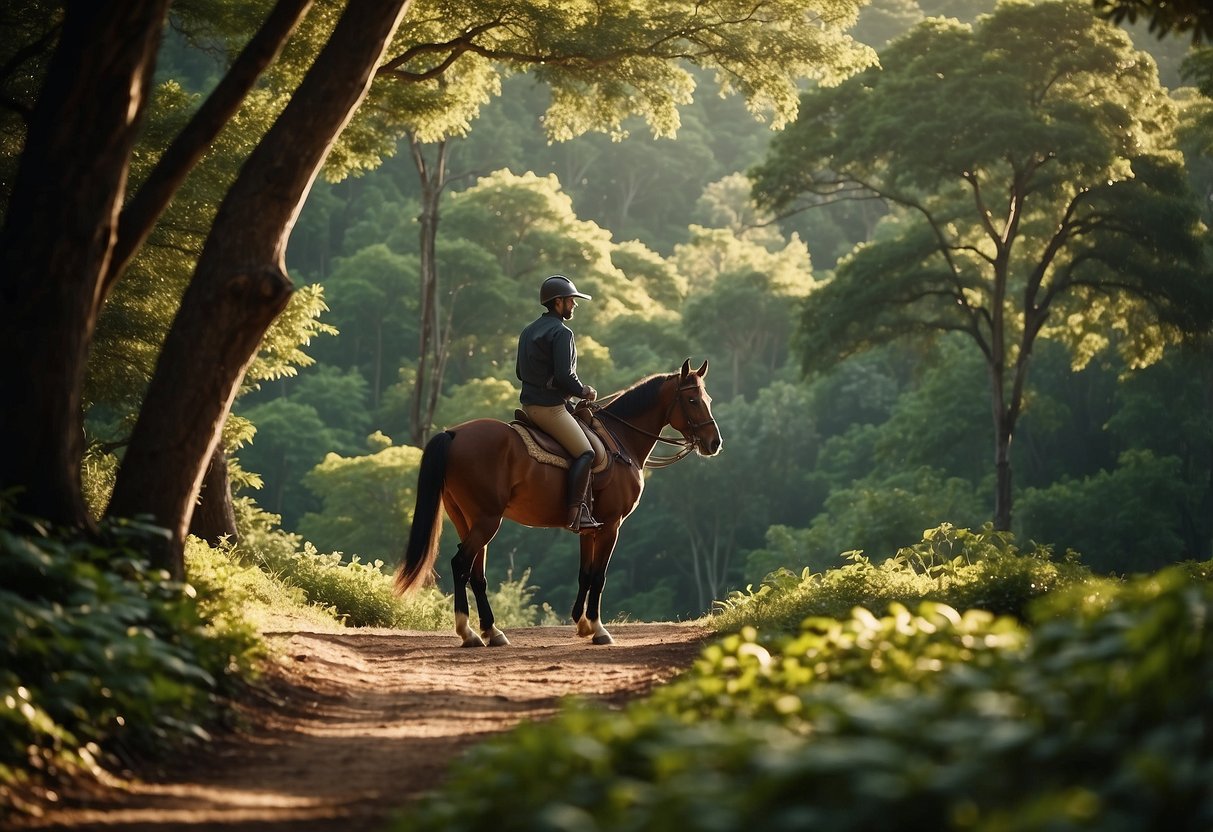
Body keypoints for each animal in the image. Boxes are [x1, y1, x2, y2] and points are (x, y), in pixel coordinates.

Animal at [395, 361, 718, 650]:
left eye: (708, 399)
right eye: (692, 400)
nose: (714, 443)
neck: (621, 439)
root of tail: (453, 433)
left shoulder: (590, 529)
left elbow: (585, 574)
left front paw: (582, 624)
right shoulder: (612, 526)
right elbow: (599, 576)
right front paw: (598, 628)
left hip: (466, 519)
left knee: (475, 574)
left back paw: (491, 632)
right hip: (487, 520)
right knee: (460, 564)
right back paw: (468, 633)